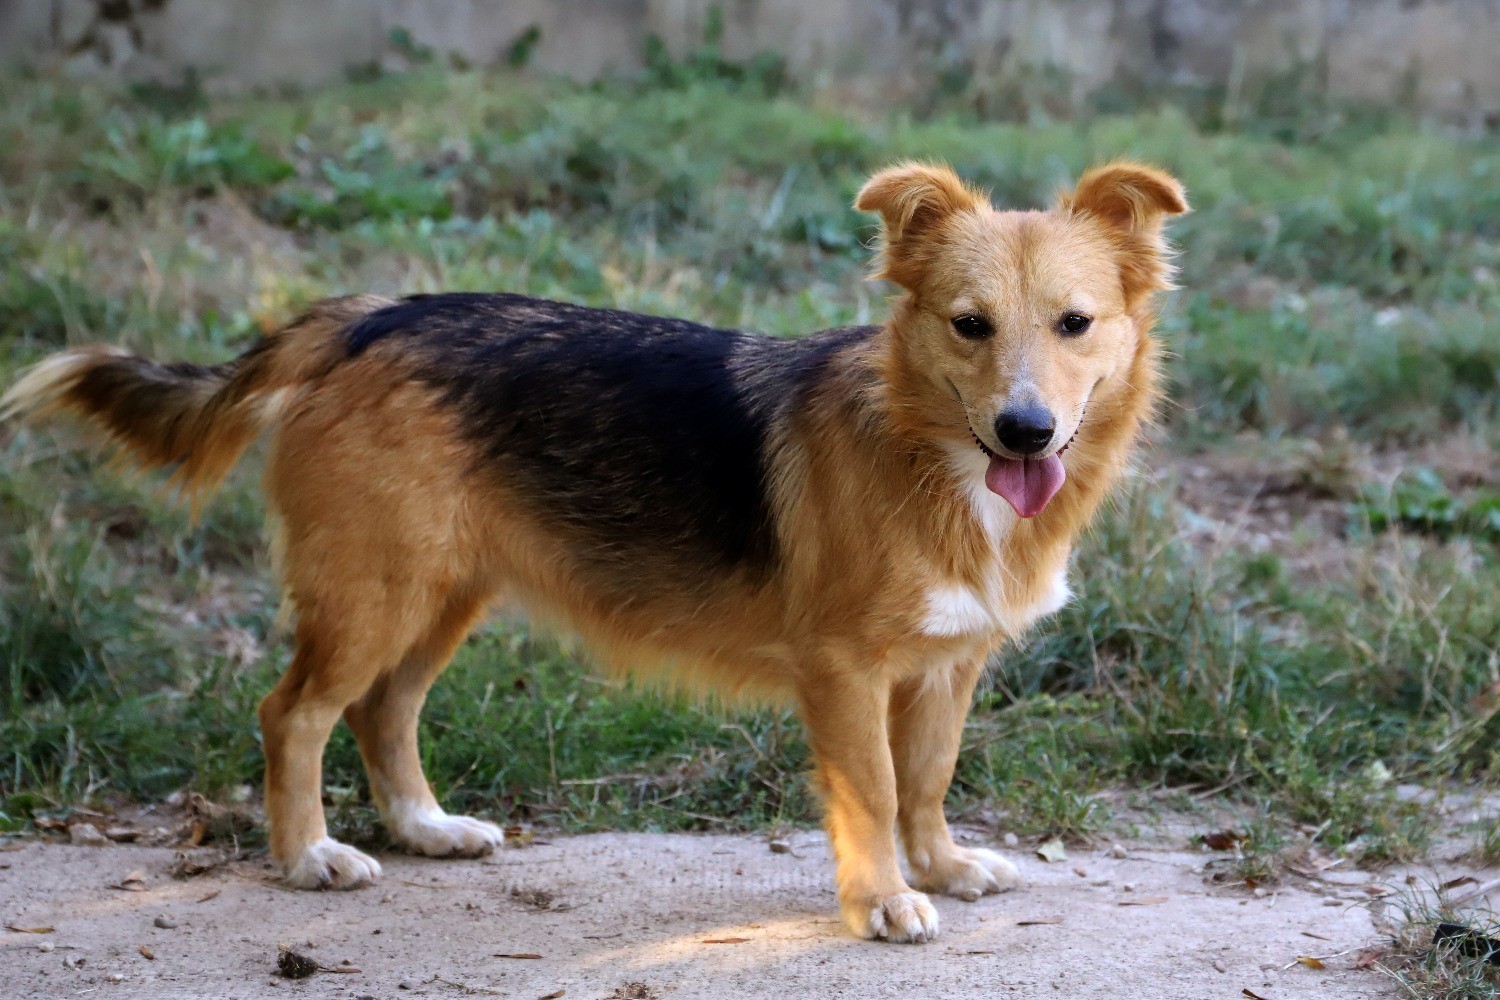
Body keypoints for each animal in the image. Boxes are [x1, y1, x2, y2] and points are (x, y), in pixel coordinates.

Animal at [5, 160, 1188, 941]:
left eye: (1075, 323)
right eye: (968, 325)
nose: (1025, 431)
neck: (924, 449)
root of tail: (368, 316)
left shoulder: (947, 665)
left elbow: (928, 778)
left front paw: (938, 867)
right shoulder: (845, 672)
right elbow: (873, 792)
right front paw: (885, 896)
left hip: (442, 597)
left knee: (385, 711)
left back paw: (424, 827)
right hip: (376, 595)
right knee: (292, 713)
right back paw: (306, 856)